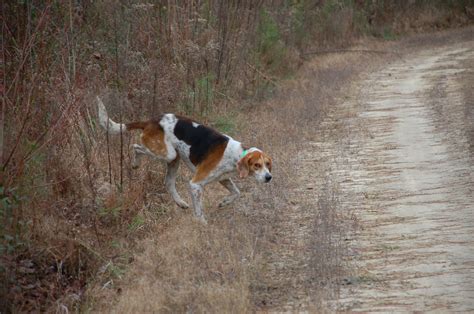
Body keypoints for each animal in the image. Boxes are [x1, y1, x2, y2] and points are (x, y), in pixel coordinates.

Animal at [96, 97, 272, 222]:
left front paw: (224, 202)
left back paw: (180, 203)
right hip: (167, 154)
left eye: (268, 165)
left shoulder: (224, 178)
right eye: (257, 165)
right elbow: (199, 212)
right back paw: (135, 163)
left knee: (168, 182)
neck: (236, 154)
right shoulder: (195, 184)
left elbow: (237, 193)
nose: (269, 177)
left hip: (174, 159)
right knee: (135, 147)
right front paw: (203, 226)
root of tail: (151, 120)